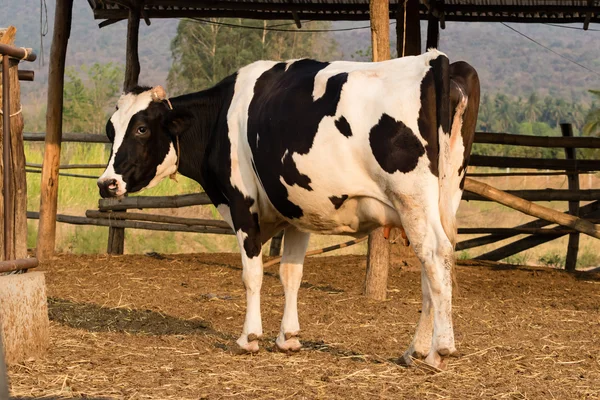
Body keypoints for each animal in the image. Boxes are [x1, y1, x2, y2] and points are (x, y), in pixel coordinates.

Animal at [101, 50, 480, 368]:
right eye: (110, 130)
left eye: (141, 128)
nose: (106, 184)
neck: (222, 117)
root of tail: (437, 61)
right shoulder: (298, 210)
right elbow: (291, 274)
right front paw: (289, 338)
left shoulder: (242, 204)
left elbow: (252, 274)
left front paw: (249, 337)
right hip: (443, 197)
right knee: (436, 264)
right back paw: (416, 350)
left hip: (411, 198)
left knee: (435, 255)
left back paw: (439, 350)